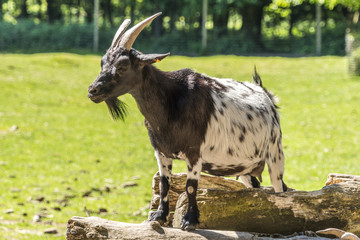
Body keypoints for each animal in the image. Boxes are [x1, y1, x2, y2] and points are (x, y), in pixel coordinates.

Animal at [86, 12, 286, 231]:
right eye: (102, 62)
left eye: (122, 66)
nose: (92, 90)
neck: (171, 104)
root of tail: (266, 94)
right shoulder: (161, 152)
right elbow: (164, 183)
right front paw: (158, 216)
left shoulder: (194, 153)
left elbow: (190, 186)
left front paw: (190, 220)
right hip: (245, 168)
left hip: (275, 154)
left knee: (280, 189)